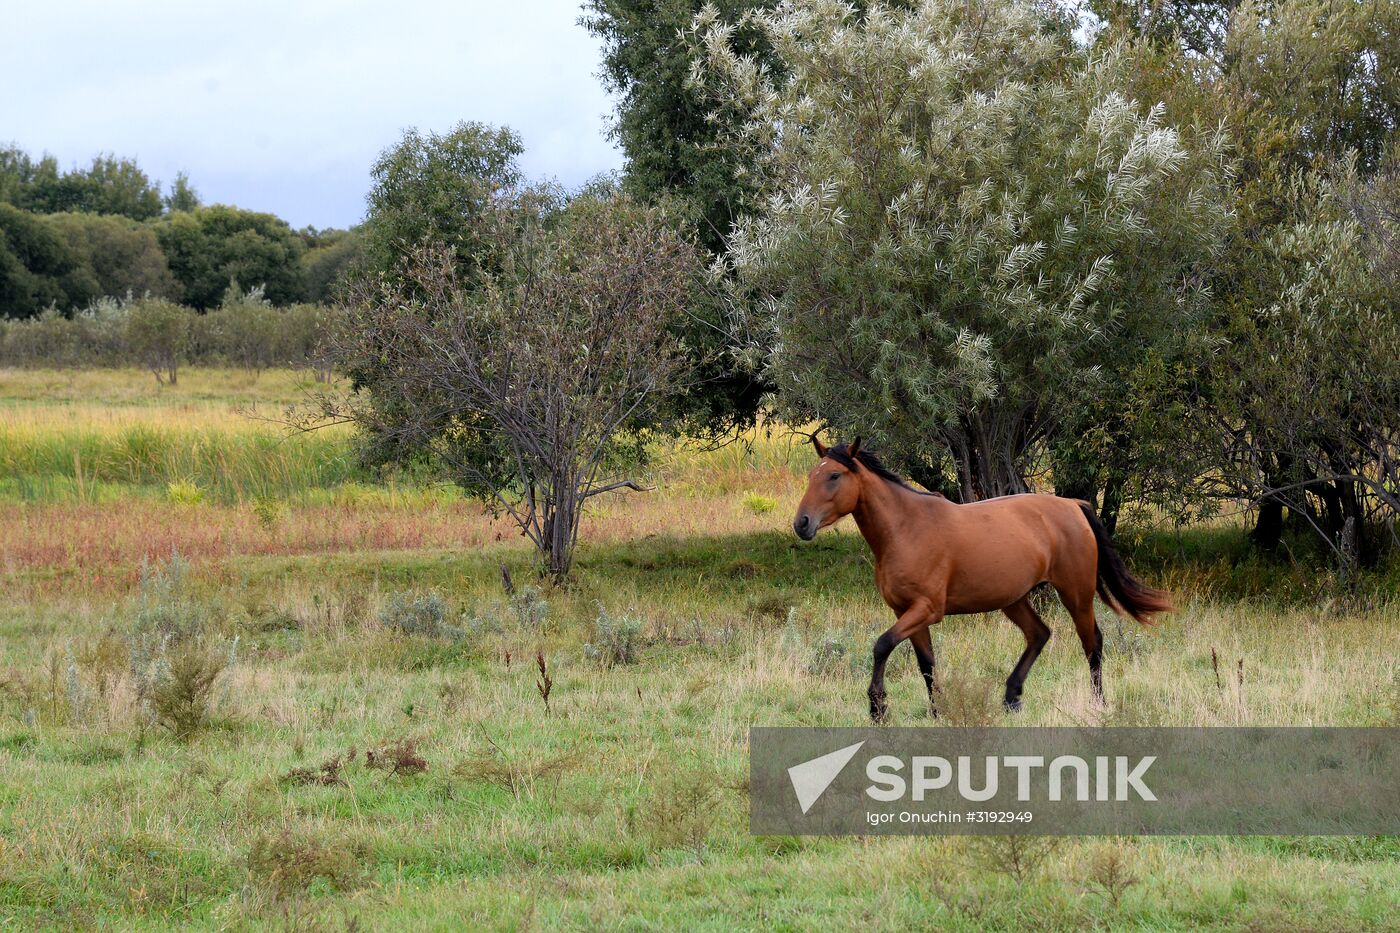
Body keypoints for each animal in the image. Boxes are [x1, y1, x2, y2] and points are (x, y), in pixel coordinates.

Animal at [789, 437, 1170, 717]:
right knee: (1039, 634)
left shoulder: (927, 609)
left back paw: (1098, 703)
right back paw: (1011, 699)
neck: (905, 529)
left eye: (834, 476)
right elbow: (926, 663)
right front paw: (937, 711)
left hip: (1076, 593)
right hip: (1014, 599)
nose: (801, 523)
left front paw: (877, 706)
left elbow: (882, 645)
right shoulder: (906, 612)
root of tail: (1073, 505)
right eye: (811, 476)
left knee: (1092, 643)